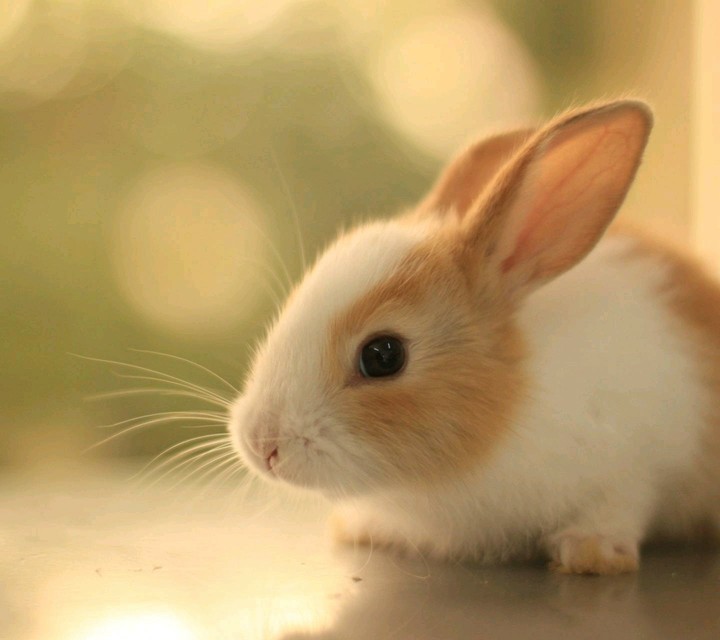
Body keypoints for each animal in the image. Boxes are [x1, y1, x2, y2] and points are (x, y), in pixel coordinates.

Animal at [228, 100, 720, 574]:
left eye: (383, 355)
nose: (262, 444)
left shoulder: (637, 465)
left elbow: (619, 506)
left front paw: (590, 552)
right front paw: (361, 528)